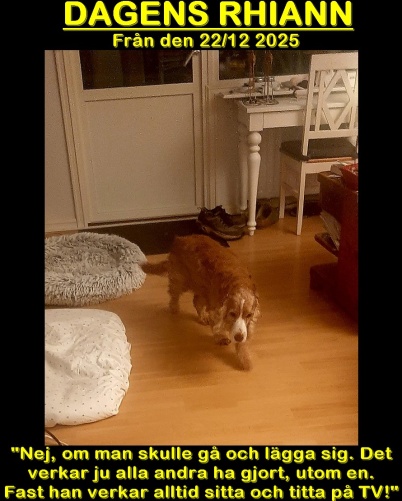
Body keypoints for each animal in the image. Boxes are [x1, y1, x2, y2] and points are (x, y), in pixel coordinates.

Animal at [141, 234, 260, 370]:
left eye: (249, 315)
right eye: (232, 314)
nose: (239, 338)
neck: (238, 281)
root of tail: (180, 239)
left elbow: (242, 337)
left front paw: (245, 360)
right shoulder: (216, 308)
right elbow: (218, 326)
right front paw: (222, 338)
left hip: (203, 289)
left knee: (196, 301)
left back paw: (203, 317)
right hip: (181, 280)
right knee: (174, 294)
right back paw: (174, 309)